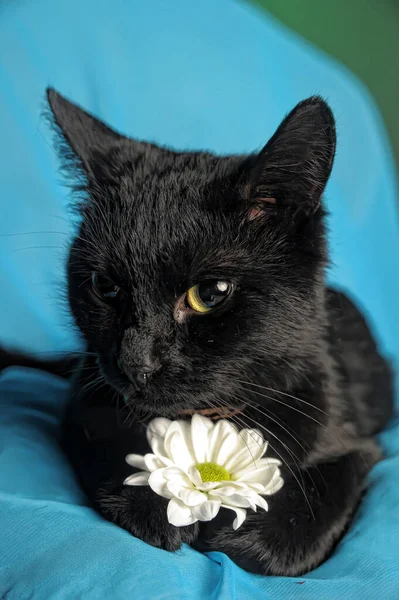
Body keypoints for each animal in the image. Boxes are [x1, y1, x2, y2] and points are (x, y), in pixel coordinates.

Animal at [0, 89, 394, 576]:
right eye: (105, 287)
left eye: (209, 293)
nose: (135, 362)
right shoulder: (82, 406)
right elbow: (106, 443)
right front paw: (151, 505)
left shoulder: (356, 440)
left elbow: (329, 492)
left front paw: (257, 538)